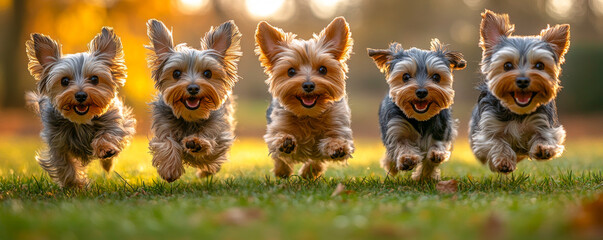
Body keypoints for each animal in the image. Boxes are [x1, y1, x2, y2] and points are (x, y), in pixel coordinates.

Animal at [25, 26, 136, 188]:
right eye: (64, 81)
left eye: (95, 79)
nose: (81, 95)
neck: (81, 121)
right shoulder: (57, 142)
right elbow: (65, 164)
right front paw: (75, 185)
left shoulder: (113, 122)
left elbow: (107, 134)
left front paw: (105, 149)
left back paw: (108, 164)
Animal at [145, 19, 242, 183]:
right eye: (176, 73)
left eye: (207, 73)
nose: (193, 88)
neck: (190, 117)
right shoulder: (163, 127)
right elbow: (166, 143)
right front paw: (170, 169)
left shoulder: (220, 133)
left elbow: (211, 146)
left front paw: (198, 143)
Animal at [368, 38, 468, 180]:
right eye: (405, 77)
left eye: (436, 77)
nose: (421, 92)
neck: (420, 119)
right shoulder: (396, 126)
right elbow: (401, 144)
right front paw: (407, 159)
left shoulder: (443, 128)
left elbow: (437, 148)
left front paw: (427, 173)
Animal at [472, 9, 572, 172]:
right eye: (507, 65)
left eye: (539, 65)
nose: (523, 80)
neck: (517, 112)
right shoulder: (486, 130)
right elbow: (495, 142)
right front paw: (504, 161)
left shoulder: (545, 123)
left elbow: (546, 137)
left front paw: (543, 149)